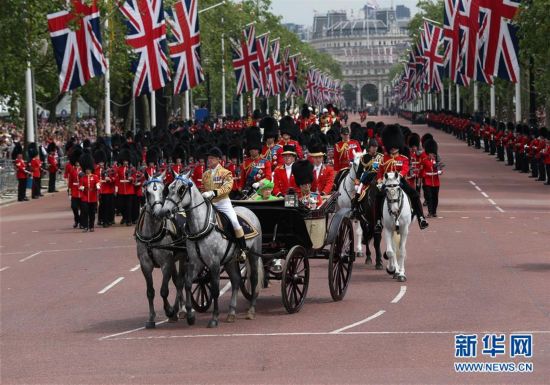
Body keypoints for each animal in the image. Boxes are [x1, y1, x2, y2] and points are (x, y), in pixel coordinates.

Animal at [135, 173, 185, 328]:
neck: (151, 235)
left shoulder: (166, 263)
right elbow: (150, 292)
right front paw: (151, 318)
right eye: (147, 192)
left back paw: (180, 309)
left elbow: (164, 290)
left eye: (164, 191)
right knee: (177, 281)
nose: (158, 213)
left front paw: (169, 310)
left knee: (181, 282)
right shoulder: (145, 264)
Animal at [161, 173, 264, 328]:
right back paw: (231, 313)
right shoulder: (195, 262)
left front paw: (214, 318)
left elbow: (215, 290)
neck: (200, 227)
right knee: (236, 280)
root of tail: (249, 210)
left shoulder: (214, 263)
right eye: (169, 187)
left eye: (181, 189)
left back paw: (251, 310)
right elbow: (188, 283)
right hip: (230, 260)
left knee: (254, 279)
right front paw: (190, 315)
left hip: (253, 255)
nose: (165, 211)